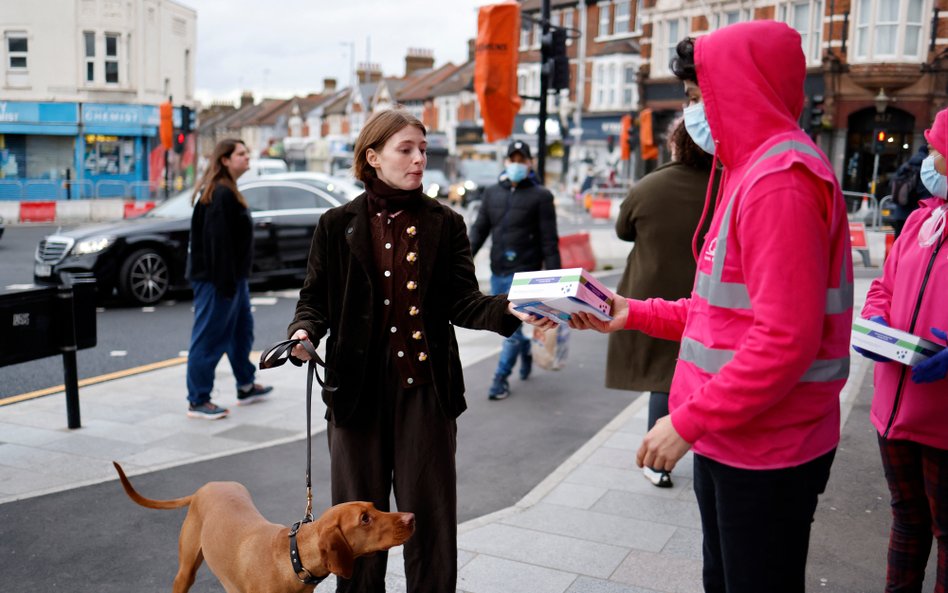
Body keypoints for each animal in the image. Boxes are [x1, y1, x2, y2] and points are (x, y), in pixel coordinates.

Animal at [112, 462, 414, 592]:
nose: (411, 517)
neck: (293, 559)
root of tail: (206, 487)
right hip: (185, 571)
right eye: (364, 518)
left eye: (374, 506)